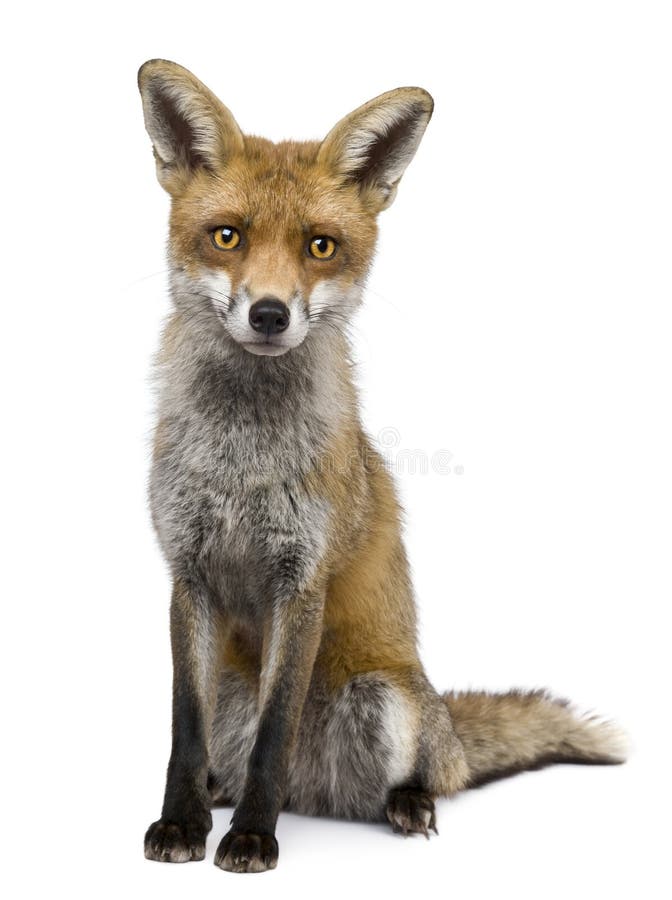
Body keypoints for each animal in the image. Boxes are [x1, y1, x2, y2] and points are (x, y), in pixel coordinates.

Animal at [139, 61, 628, 872]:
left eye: (320, 247)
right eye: (227, 237)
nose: (269, 314)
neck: (244, 459)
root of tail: (313, 795)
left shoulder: (301, 578)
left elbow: (274, 734)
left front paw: (252, 837)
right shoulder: (187, 571)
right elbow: (183, 727)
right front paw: (181, 822)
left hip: (385, 700)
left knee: (419, 776)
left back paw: (399, 804)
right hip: (241, 690)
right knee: (231, 757)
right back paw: (218, 795)